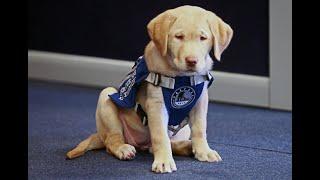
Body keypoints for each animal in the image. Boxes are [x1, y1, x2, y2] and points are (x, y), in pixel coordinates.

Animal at [67, 5, 232, 174]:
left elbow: (200, 128)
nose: (192, 61)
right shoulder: (156, 105)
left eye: (203, 38)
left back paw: (187, 146)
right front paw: (164, 161)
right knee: (112, 141)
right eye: (178, 37)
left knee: (158, 146)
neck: (182, 77)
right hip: (106, 98)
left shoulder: (200, 102)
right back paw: (123, 149)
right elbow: (160, 136)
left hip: (183, 130)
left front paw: (204, 151)